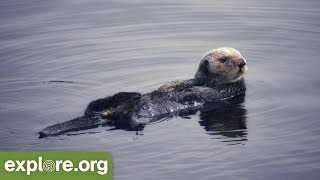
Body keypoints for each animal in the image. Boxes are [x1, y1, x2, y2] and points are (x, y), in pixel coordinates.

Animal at [38, 47, 248, 137]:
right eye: (224, 59)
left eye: (239, 55)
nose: (242, 62)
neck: (210, 81)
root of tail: (106, 115)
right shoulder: (194, 79)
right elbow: (178, 83)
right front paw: (168, 88)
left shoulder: (231, 89)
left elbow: (205, 92)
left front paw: (191, 92)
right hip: (105, 107)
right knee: (94, 105)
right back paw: (132, 95)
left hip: (129, 115)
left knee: (125, 118)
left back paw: (134, 104)